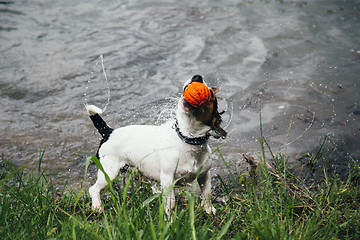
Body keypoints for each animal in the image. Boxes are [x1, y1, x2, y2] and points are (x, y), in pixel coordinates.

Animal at [85, 74, 226, 216]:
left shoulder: (204, 175)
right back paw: (97, 206)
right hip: (109, 172)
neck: (188, 139)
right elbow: (171, 203)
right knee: (93, 189)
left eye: (211, 94)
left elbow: (207, 194)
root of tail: (108, 131)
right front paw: (169, 219)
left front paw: (209, 210)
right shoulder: (168, 179)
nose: (197, 77)